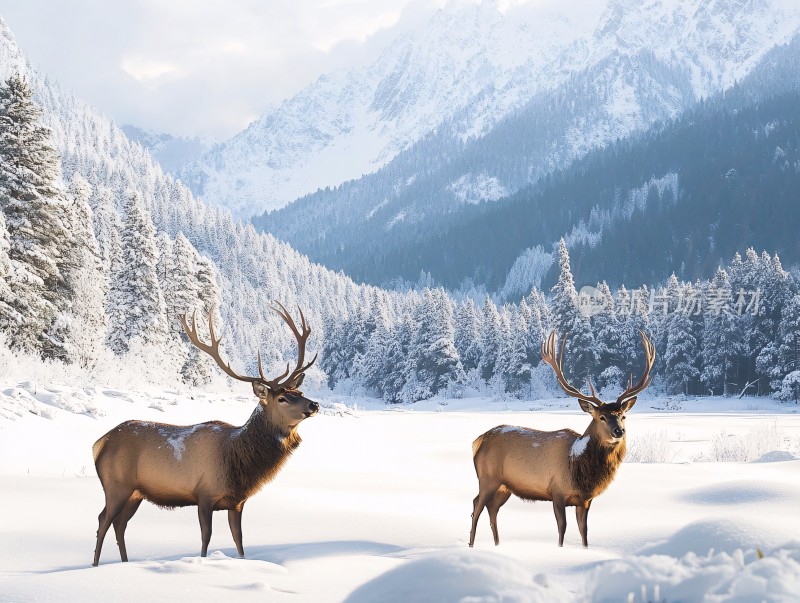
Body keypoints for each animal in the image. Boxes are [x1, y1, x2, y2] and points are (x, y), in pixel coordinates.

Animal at [91, 304, 318, 568]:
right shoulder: (204, 494)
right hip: (116, 484)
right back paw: (94, 566)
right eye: (282, 398)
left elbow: (239, 539)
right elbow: (205, 538)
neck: (238, 463)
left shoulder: (237, 502)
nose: (314, 404)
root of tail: (99, 443)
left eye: (298, 391)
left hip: (136, 492)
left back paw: (124, 564)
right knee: (103, 519)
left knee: (120, 524)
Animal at [472, 332, 652, 548]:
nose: (619, 431)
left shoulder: (585, 500)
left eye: (623, 415)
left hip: (504, 486)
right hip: (487, 477)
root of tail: (478, 441)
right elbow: (562, 528)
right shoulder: (556, 492)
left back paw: (498, 545)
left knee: (492, 508)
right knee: (477, 505)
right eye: (601, 417)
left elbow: (584, 531)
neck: (580, 470)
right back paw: (471, 545)